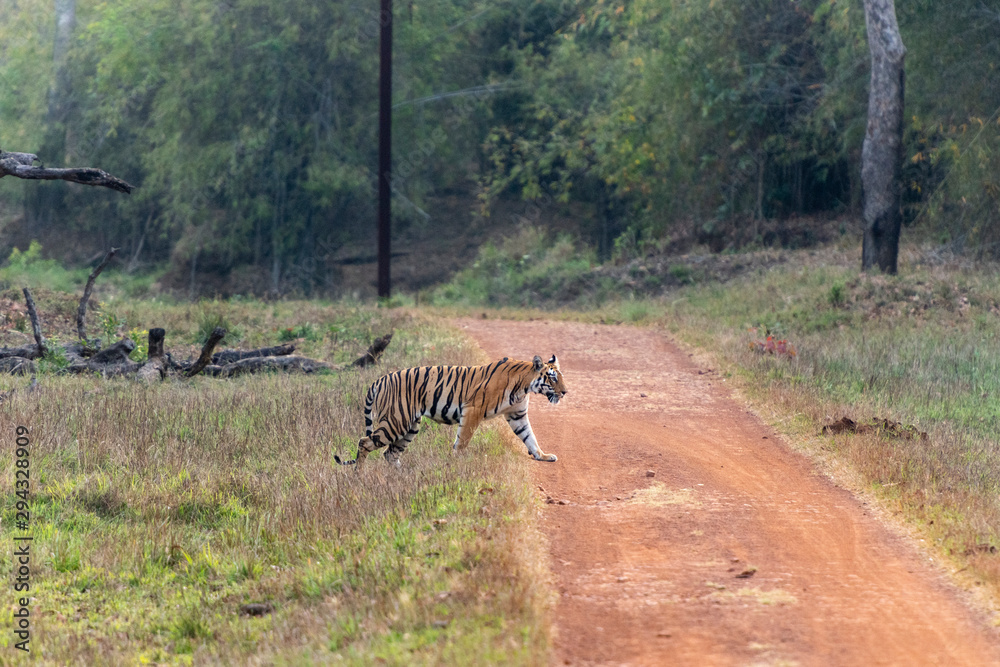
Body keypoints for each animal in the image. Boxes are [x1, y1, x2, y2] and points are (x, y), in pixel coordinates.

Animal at [334, 355, 567, 467]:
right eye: (552, 378)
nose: (565, 392)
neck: (524, 385)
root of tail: (379, 379)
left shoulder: (517, 415)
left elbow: (530, 437)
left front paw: (543, 456)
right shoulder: (473, 410)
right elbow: (462, 440)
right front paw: (458, 462)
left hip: (410, 426)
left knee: (390, 454)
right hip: (395, 421)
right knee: (365, 442)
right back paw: (358, 476)